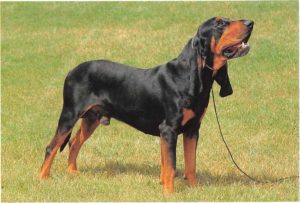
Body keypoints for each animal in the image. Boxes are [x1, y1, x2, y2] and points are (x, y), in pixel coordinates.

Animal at [39, 17, 253, 193]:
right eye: (220, 23)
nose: (250, 23)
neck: (189, 77)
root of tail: (71, 70)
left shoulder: (192, 130)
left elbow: (190, 164)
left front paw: (194, 189)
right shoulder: (168, 129)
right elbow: (172, 166)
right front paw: (170, 193)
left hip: (92, 118)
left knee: (74, 143)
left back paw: (72, 172)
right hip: (70, 115)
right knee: (51, 147)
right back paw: (43, 178)